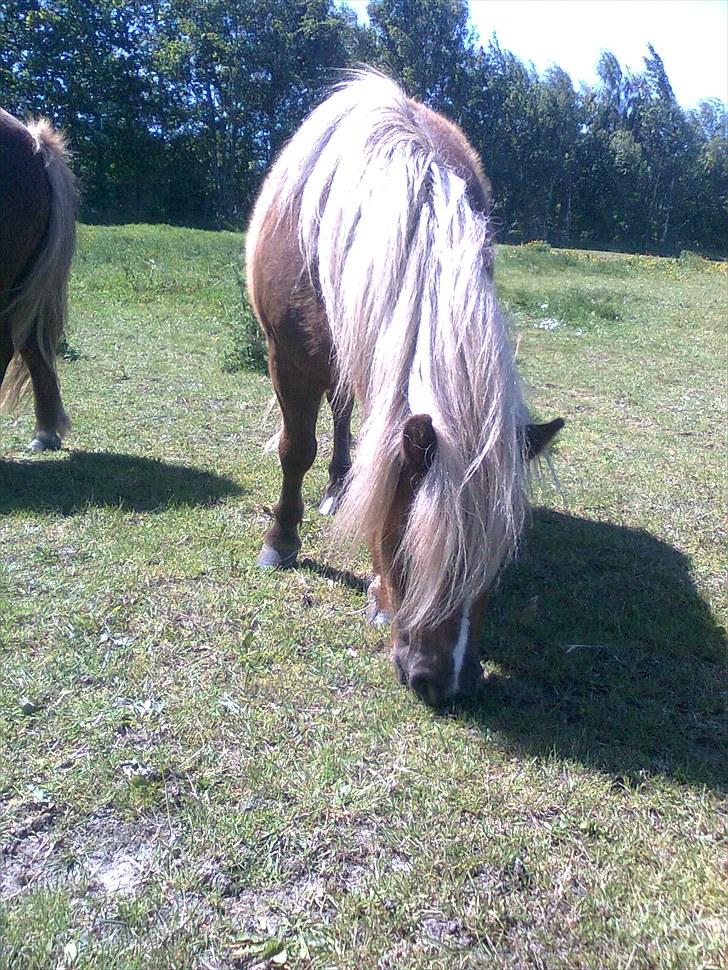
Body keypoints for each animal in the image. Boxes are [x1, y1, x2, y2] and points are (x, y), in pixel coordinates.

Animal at [246, 70, 564, 704]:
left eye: (495, 565)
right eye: (411, 549)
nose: (443, 685)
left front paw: (373, 587)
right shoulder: (287, 359)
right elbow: (297, 450)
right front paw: (281, 541)